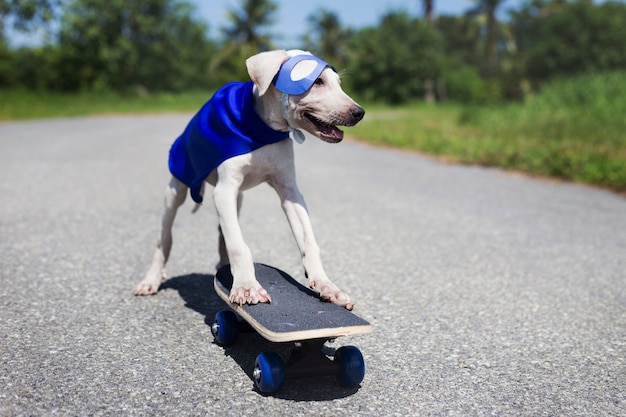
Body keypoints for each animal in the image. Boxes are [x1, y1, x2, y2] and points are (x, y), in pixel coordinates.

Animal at [134, 48, 364, 308]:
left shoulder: (289, 191)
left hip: (238, 199)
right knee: (165, 238)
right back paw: (151, 279)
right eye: (317, 82)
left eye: (338, 84)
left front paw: (326, 285)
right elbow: (238, 244)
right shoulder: (224, 190)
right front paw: (246, 287)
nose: (359, 113)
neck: (263, 130)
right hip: (176, 189)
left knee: (222, 231)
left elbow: (308, 241)